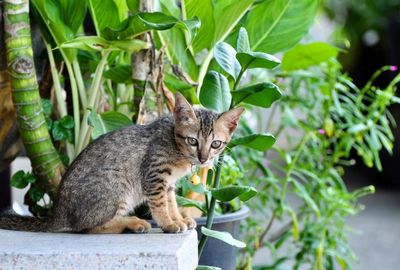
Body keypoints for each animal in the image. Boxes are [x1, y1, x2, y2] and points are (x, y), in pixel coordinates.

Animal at [0, 92, 244, 233]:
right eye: (193, 140)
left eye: (216, 144)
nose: (203, 158)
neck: (176, 146)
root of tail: (58, 213)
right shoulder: (155, 176)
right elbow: (160, 205)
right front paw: (168, 223)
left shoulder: (169, 183)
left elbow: (171, 202)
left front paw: (179, 218)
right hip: (118, 185)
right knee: (86, 228)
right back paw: (133, 223)